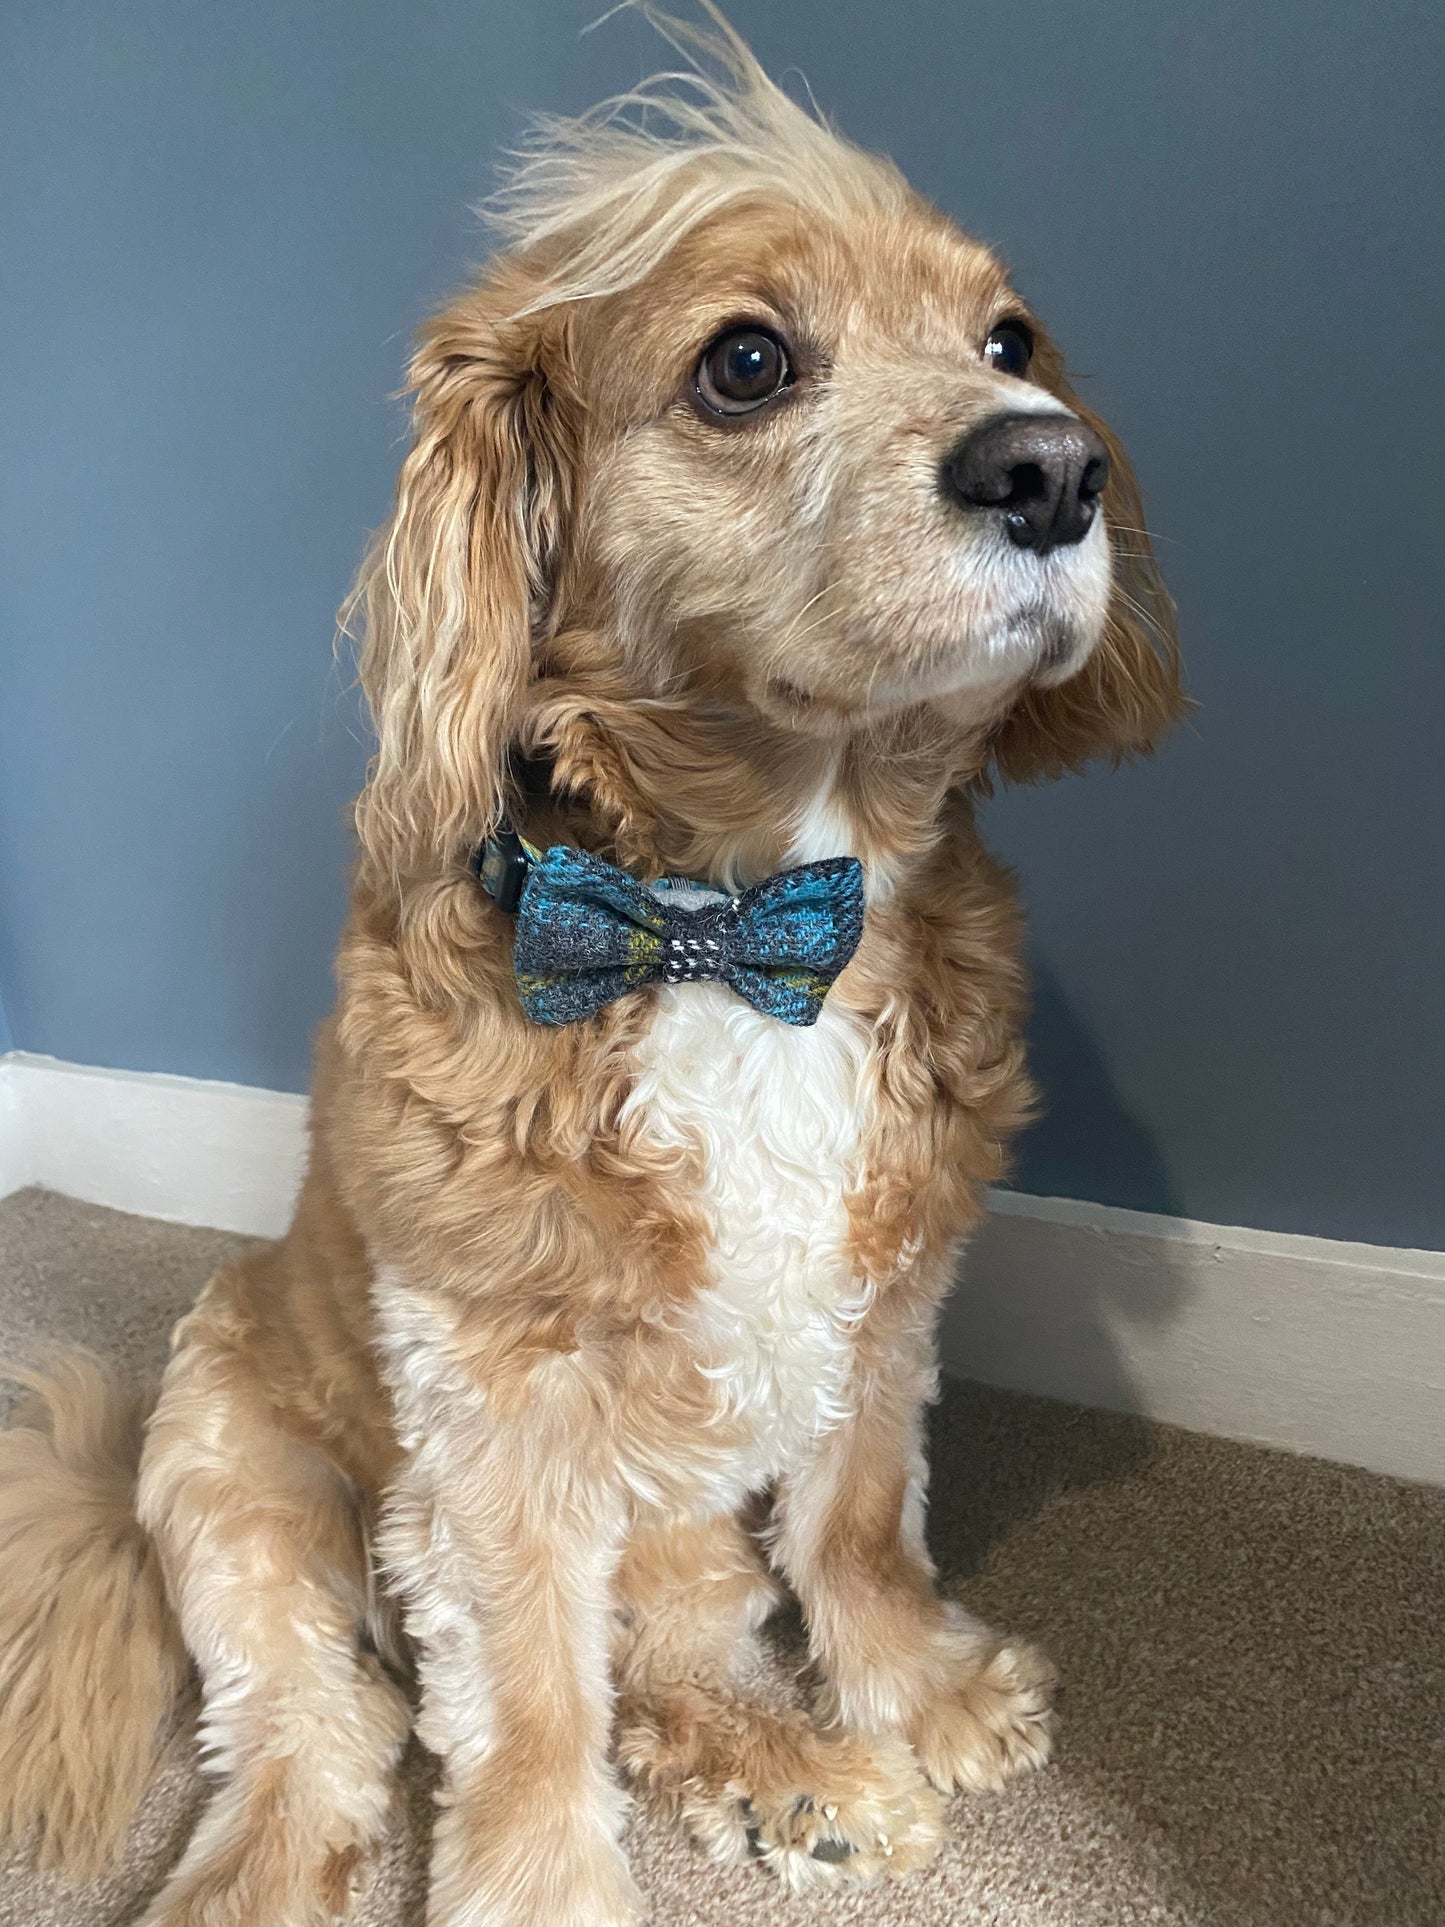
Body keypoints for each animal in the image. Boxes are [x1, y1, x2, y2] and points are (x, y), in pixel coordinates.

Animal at [0, 11, 1179, 1911]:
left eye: (1008, 340)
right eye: (746, 362)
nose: (1053, 465)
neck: (730, 926)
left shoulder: (882, 1297)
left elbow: (857, 1518)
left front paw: (912, 1689)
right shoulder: (493, 1401)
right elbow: (529, 1694)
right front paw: (542, 1881)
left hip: (675, 1512)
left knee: (677, 1650)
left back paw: (799, 1773)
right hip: (240, 1475)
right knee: (318, 1728)